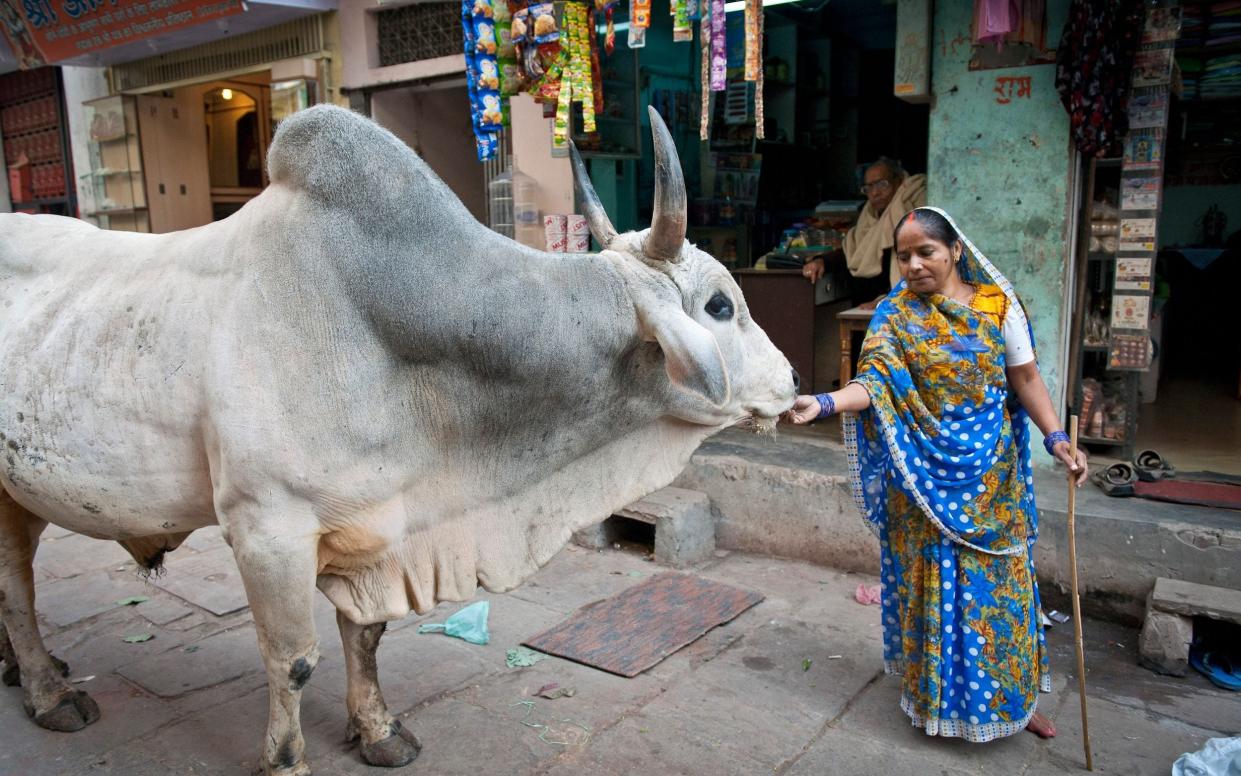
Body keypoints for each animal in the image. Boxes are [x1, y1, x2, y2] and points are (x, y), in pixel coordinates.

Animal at [0, 101, 794, 769]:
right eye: (720, 305)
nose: (790, 381)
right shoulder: (265, 528)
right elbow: (292, 659)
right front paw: (285, 760)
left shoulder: (376, 524)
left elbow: (367, 633)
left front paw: (378, 730)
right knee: (17, 589)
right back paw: (48, 691)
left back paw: (22, 670)